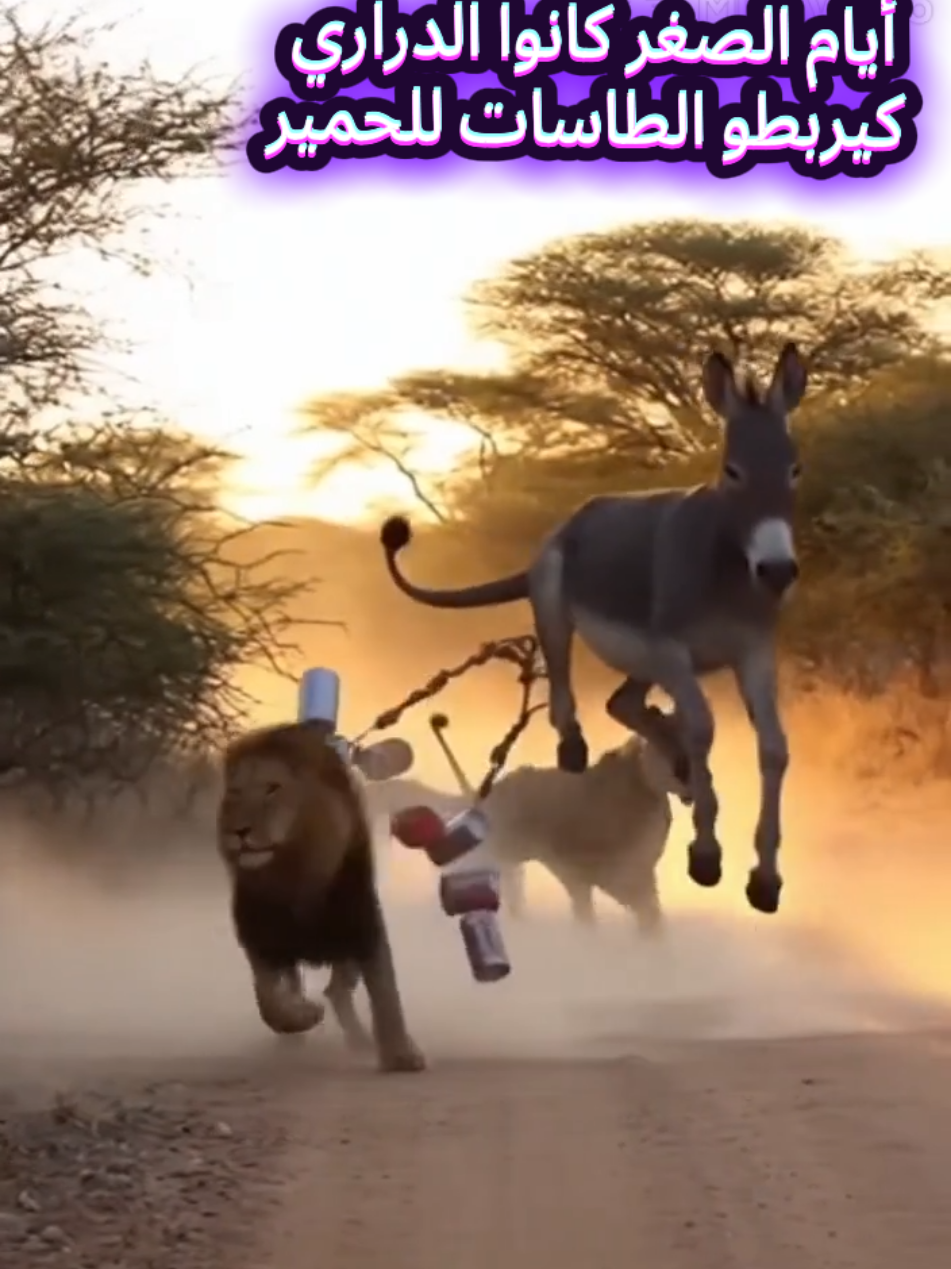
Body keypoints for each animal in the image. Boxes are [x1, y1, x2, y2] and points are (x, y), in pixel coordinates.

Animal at [216, 722, 425, 1074]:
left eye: (272, 789)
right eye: (235, 792)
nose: (239, 831)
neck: (292, 874)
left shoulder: (363, 925)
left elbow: (386, 994)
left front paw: (400, 1054)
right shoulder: (261, 939)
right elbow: (267, 998)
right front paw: (301, 1016)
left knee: (337, 990)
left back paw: (360, 1040)